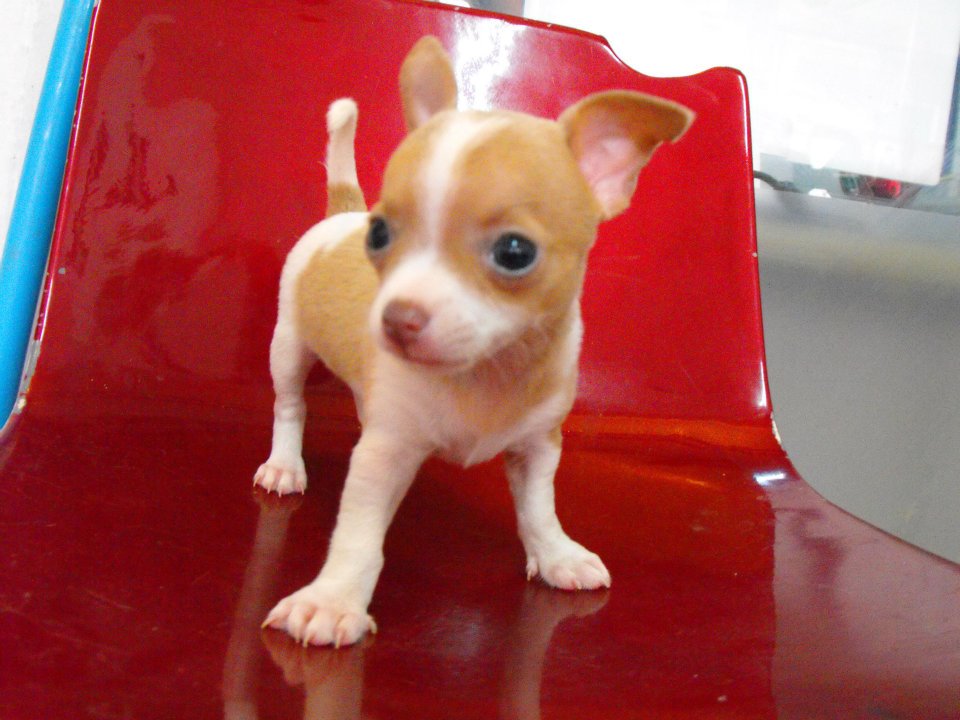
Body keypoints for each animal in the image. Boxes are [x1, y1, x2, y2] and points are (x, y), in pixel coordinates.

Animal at [255, 36, 693, 647]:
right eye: (379, 233)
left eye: (515, 252)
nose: (396, 318)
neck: (486, 372)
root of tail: (341, 212)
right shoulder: (384, 456)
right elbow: (357, 536)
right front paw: (333, 600)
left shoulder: (538, 447)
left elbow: (538, 509)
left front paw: (555, 555)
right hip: (289, 346)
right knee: (290, 404)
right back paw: (284, 464)